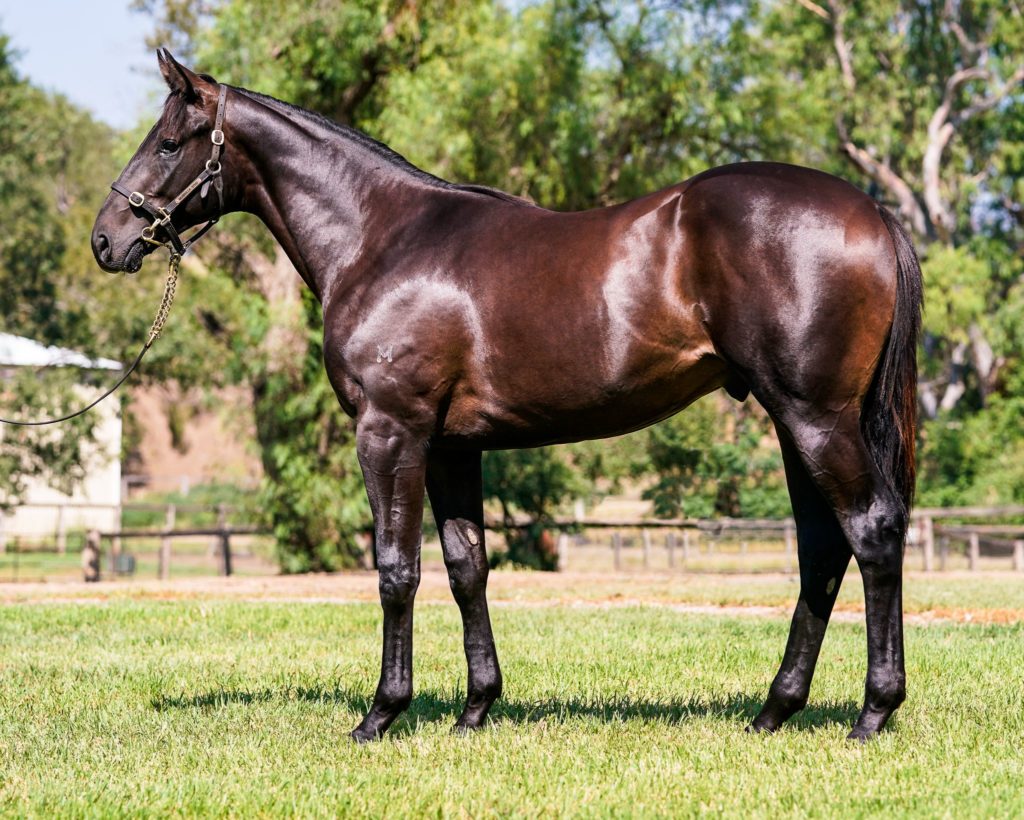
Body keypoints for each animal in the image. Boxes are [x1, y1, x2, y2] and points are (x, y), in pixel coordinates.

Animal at [92, 50, 921, 743]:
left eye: (169, 142)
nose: (106, 239)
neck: (379, 237)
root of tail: (874, 211)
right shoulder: (453, 447)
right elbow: (467, 568)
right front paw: (476, 708)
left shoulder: (390, 432)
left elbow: (396, 569)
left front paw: (381, 714)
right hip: (793, 422)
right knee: (822, 550)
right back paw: (775, 710)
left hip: (814, 418)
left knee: (871, 532)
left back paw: (873, 714)